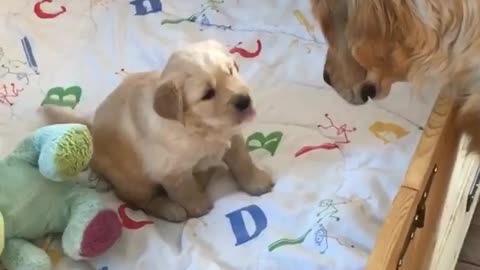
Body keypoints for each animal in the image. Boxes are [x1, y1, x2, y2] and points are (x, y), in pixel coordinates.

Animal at [42, 39, 274, 221]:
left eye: (231, 71)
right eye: (208, 94)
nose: (245, 101)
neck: (201, 128)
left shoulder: (233, 137)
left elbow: (243, 161)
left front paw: (257, 183)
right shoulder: (171, 171)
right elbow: (186, 191)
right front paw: (199, 207)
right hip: (134, 182)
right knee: (137, 201)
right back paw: (171, 209)